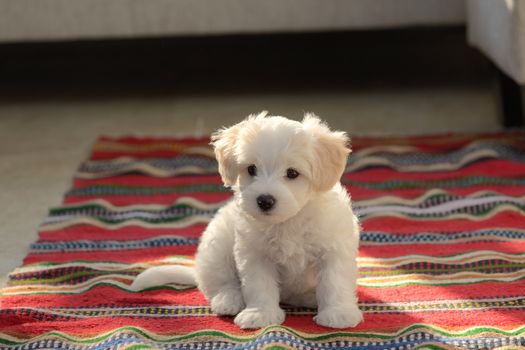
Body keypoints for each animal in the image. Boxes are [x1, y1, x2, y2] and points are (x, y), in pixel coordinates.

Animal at [132, 111, 360, 328]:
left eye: (292, 173)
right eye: (251, 169)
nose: (265, 200)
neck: (288, 221)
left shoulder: (333, 249)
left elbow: (334, 282)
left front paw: (338, 313)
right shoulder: (254, 254)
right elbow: (259, 286)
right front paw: (260, 314)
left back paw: (310, 297)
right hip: (217, 247)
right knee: (220, 283)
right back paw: (228, 300)